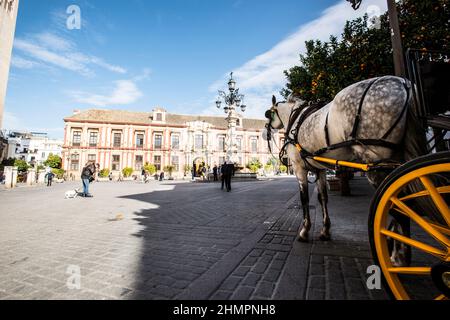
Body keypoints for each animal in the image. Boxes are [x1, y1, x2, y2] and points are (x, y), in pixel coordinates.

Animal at [264, 76, 428, 241]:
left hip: (377, 162)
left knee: (399, 208)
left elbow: (304, 199)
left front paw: (304, 231)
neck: (295, 119)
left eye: (268, 114)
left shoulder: (299, 167)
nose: (266, 132)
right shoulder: (319, 169)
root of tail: (404, 84)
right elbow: (323, 197)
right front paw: (325, 230)